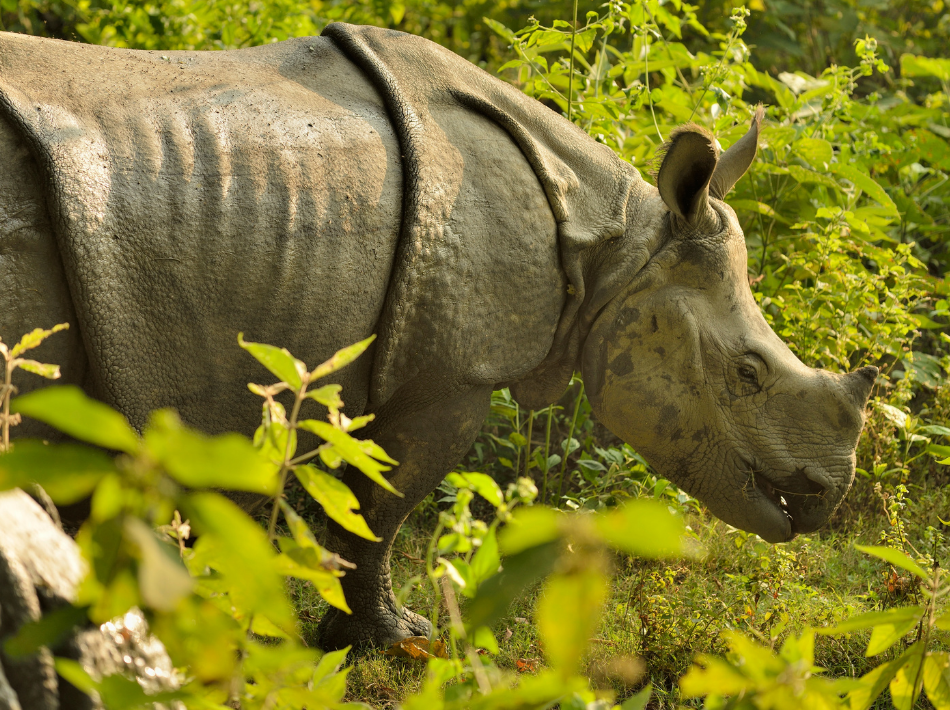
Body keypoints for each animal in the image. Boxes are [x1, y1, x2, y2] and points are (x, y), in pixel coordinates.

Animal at [0, 23, 876, 650]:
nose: (826, 495)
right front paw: (396, 643)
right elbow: (382, 506)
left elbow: (358, 498)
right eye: (748, 372)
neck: (618, 249)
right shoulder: (449, 371)